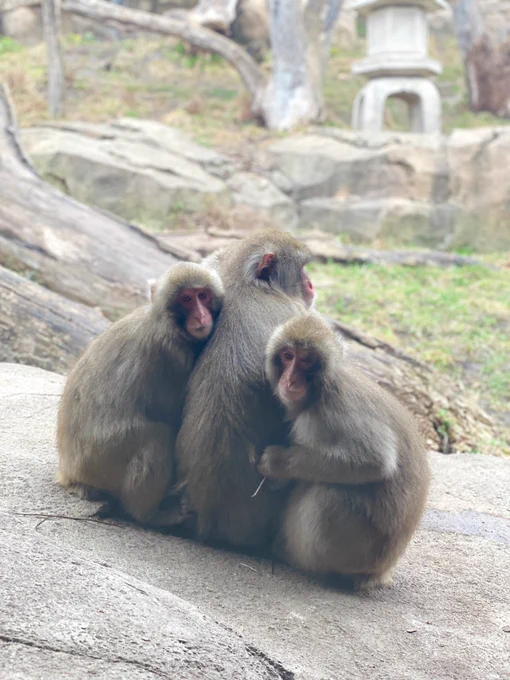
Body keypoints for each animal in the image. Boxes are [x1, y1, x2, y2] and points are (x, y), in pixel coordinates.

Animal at [56, 262, 224, 527]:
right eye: (186, 299)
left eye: (203, 296)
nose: (201, 316)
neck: (166, 323)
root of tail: (70, 472)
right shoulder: (174, 356)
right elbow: (172, 417)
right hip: (100, 460)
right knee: (157, 438)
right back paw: (150, 514)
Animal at [258, 311, 430, 589]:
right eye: (287, 356)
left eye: (306, 360)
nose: (290, 379)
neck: (318, 391)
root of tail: (382, 570)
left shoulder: (332, 410)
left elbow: (375, 460)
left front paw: (277, 464)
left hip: (355, 549)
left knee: (328, 495)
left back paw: (295, 557)